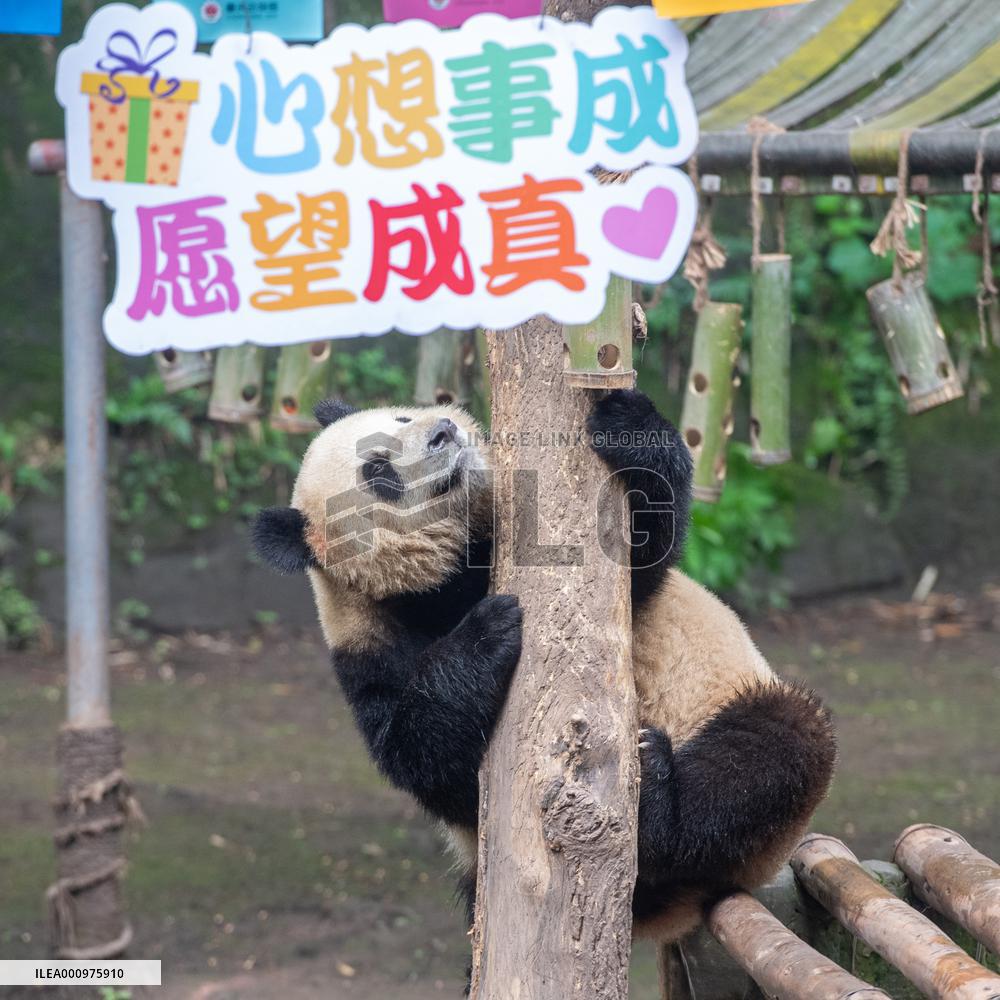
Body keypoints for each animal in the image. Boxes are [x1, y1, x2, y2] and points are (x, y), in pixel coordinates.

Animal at [253, 389, 836, 947]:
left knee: (767, 754)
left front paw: (628, 425)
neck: (435, 585)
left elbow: (642, 554)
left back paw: (653, 792)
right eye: (379, 473)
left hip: (737, 703)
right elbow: (428, 763)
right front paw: (486, 632)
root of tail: (669, 912)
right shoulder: (371, 654)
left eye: (400, 418)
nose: (444, 432)